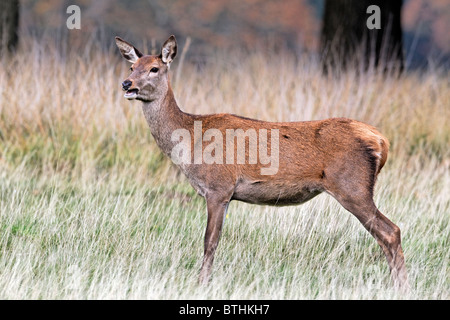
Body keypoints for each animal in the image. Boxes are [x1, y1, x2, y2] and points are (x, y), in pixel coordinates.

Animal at [115, 35, 408, 290]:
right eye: (131, 66)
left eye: (154, 68)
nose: (127, 84)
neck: (190, 141)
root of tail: (381, 141)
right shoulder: (222, 193)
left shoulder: (219, 187)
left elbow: (209, 242)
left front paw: (201, 284)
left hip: (352, 186)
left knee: (390, 231)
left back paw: (401, 287)